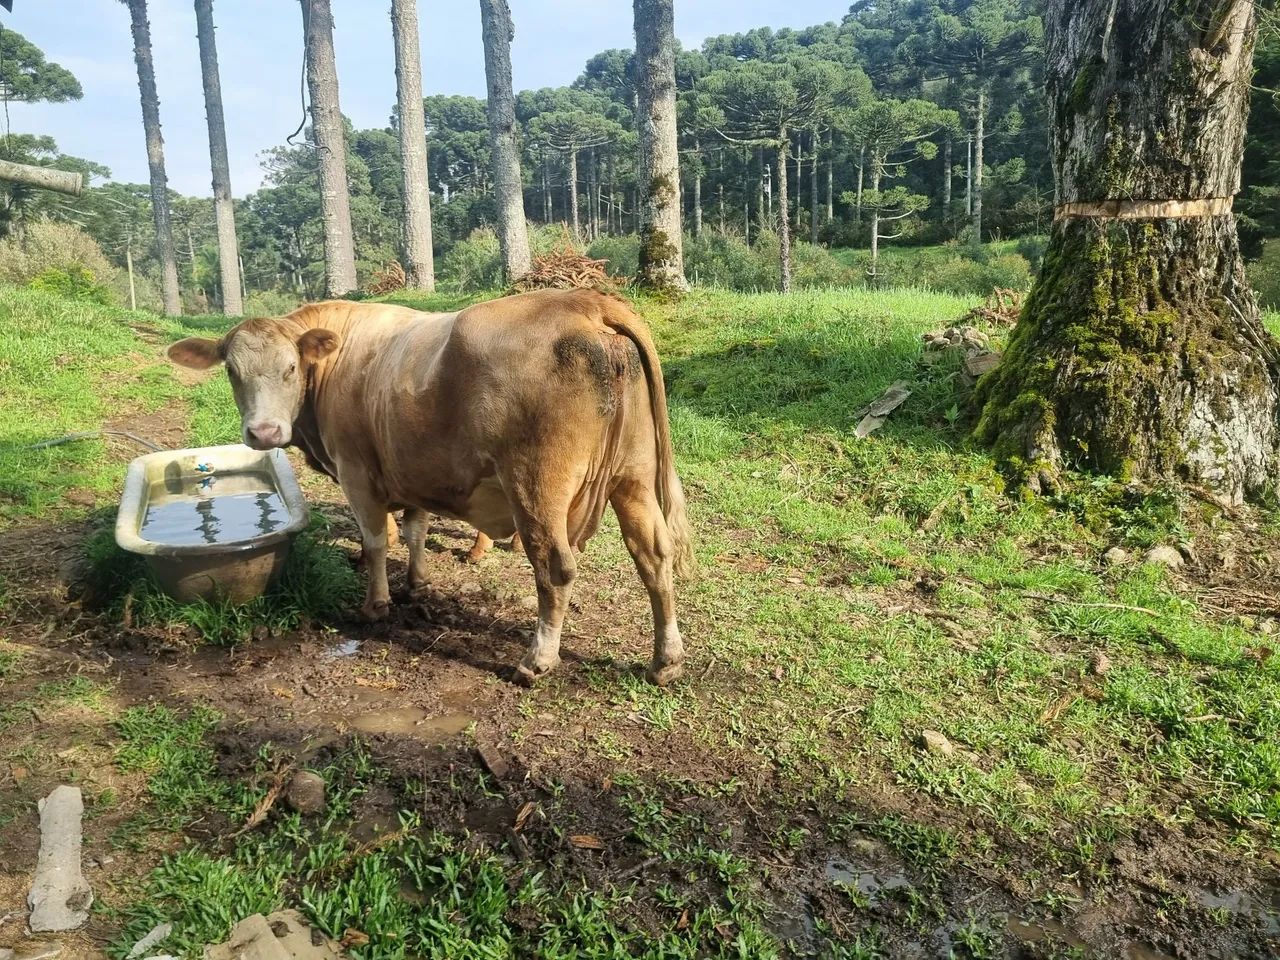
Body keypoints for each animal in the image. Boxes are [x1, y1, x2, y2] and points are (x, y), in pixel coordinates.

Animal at [167, 289, 692, 686]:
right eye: (232, 371)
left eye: (290, 368)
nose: (263, 433)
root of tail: (587, 301)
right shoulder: (411, 469)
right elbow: (416, 528)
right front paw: (417, 583)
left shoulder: (356, 471)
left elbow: (376, 541)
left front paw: (376, 603)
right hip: (634, 478)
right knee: (653, 555)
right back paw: (665, 661)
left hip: (537, 487)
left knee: (555, 569)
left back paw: (537, 659)